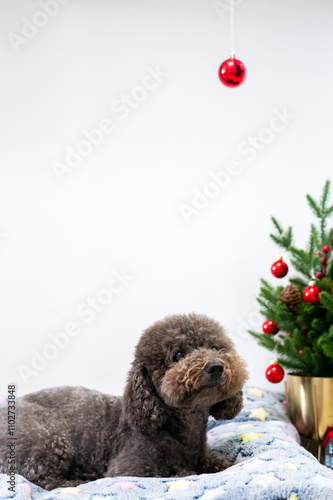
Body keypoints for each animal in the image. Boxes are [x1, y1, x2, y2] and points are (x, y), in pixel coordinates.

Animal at [0, 312, 246, 488]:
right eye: (178, 355)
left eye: (215, 347)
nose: (215, 367)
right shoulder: (127, 470)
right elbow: (178, 473)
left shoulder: (202, 454)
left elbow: (218, 461)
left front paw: (232, 463)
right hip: (49, 434)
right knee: (44, 480)